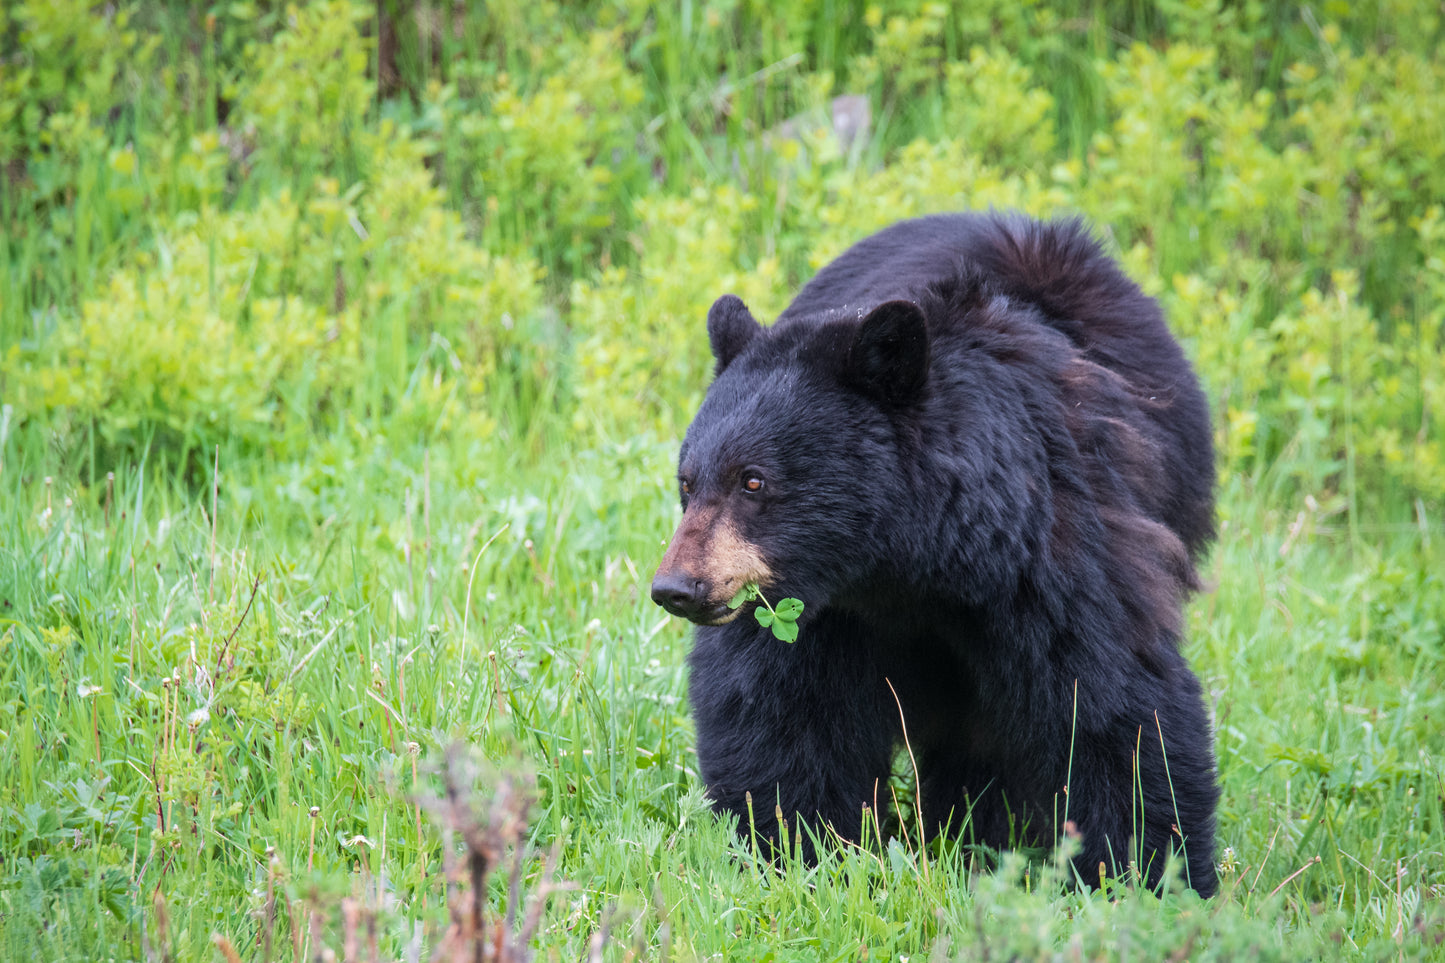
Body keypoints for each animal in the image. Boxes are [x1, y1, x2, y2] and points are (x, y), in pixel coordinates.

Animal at [650, 211, 1219, 897]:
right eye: (688, 482)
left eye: (753, 481)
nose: (676, 586)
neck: (913, 564)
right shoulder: (813, 610)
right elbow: (782, 717)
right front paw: (796, 851)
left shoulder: (1052, 555)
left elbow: (1111, 703)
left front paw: (1148, 879)